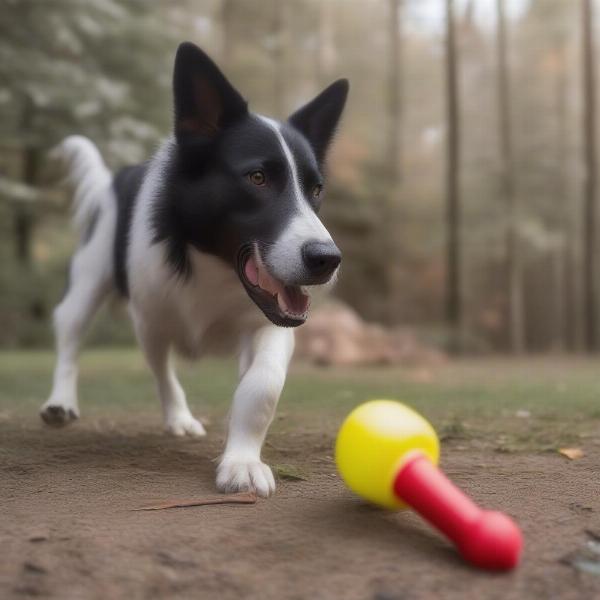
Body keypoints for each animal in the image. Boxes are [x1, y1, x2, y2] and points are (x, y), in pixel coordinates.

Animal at [42, 39, 350, 494]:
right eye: (257, 178)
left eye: (316, 189)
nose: (326, 260)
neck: (215, 269)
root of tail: (113, 180)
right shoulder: (152, 319)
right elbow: (163, 371)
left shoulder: (269, 326)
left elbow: (261, 386)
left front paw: (241, 460)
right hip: (90, 285)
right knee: (75, 336)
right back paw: (63, 401)